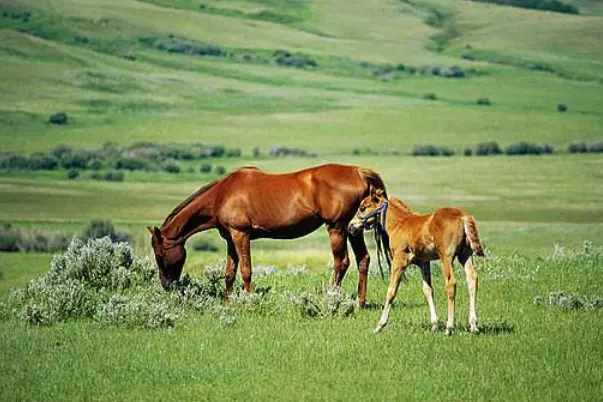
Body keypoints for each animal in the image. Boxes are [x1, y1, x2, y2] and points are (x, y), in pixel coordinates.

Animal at [149, 162, 390, 306]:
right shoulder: (230, 239)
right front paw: (228, 303)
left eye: (159, 255)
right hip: (352, 229)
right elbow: (229, 273)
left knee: (342, 262)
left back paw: (331, 299)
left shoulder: (241, 235)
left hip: (337, 228)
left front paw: (249, 300)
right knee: (363, 259)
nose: (166, 285)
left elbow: (246, 270)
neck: (222, 194)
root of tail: (359, 172)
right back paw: (359, 303)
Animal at [346, 190, 484, 334]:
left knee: (451, 283)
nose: (350, 226)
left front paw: (380, 325)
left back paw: (449, 326)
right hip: (465, 255)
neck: (399, 224)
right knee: (472, 279)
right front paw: (434, 325)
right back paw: (473, 325)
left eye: (363, 208)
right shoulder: (424, 262)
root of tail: (462, 216)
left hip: (446, 257)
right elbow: (428, 290)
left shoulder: (399, 260)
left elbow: (391, 291)